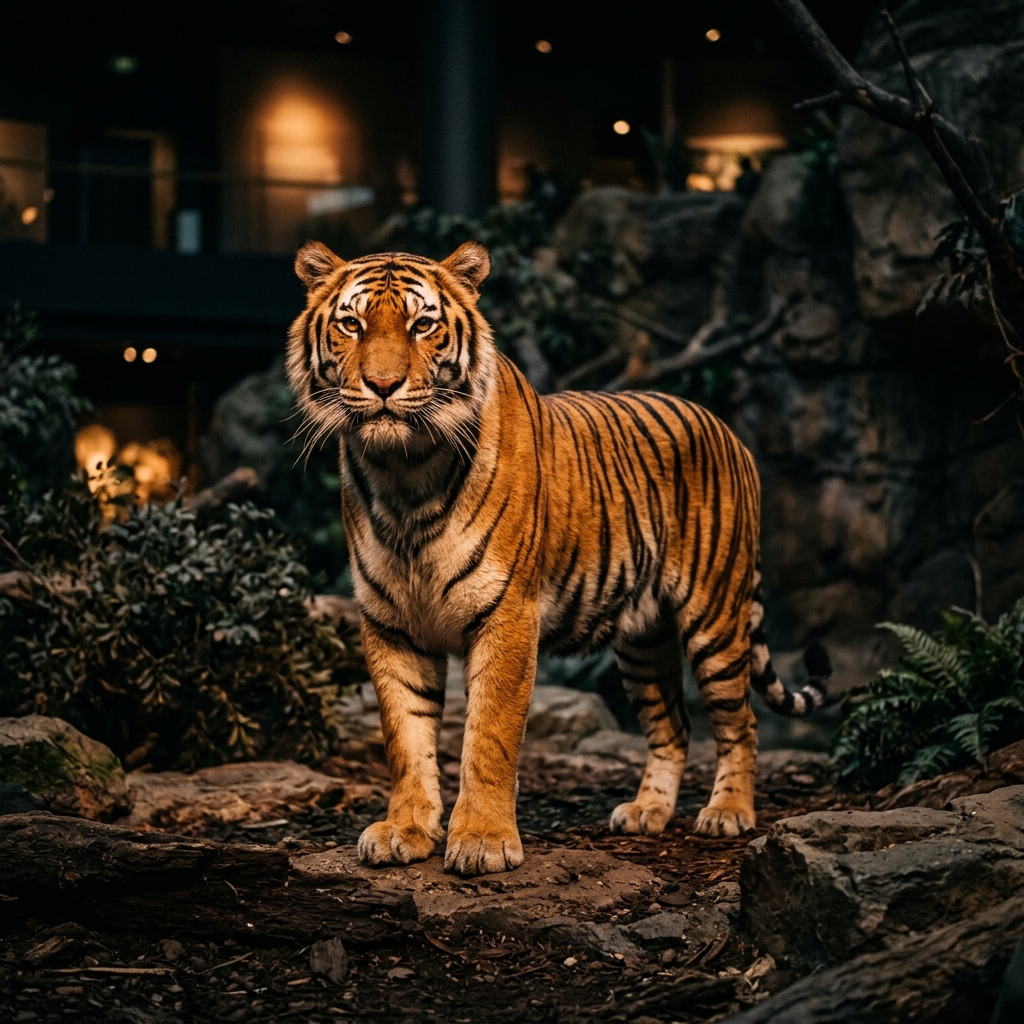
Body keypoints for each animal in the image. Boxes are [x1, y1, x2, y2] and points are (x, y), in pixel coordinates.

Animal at [286, 238, 830, 878]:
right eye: (352, 324)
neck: (405, 472)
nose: (383, 384)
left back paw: (728, 814)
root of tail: (728, 430)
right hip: (643, 640)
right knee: (673, 724)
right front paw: (405, 830)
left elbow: (489, 735)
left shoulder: (506, 615)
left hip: (715, 618)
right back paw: (647, 812)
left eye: (423, 325)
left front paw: (483, 841)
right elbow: (406, 738)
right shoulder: (390, 623)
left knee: (740, 721)